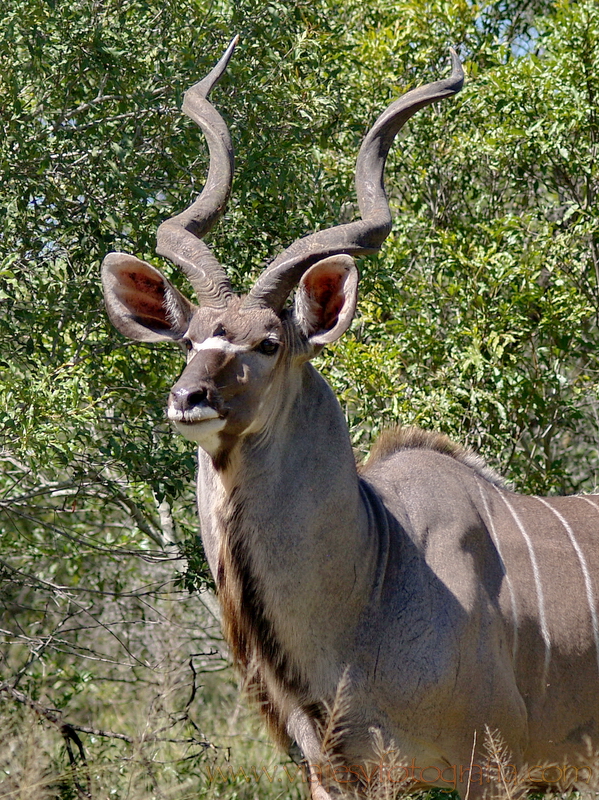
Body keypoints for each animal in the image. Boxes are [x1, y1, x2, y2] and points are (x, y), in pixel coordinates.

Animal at [101, 39, 599, 800]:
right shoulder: (334, 775)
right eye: (189, 341)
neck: (376, 572)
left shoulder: (490, 767)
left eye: (268, 344)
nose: (189, 398)